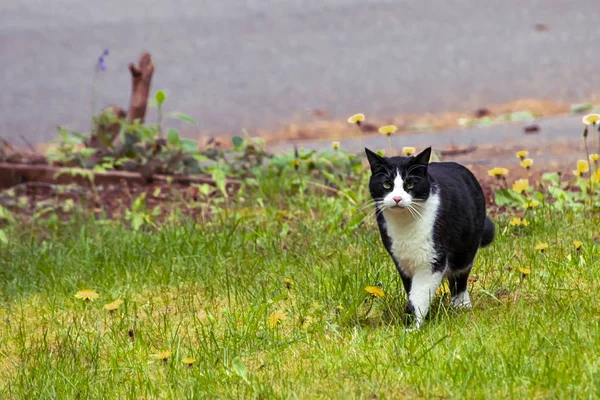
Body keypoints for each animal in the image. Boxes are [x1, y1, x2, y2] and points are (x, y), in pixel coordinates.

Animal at [364, 147, 494, 328]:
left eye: (410, 184)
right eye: (386, 184)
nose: (397, 198)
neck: (405, 224)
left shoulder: (432, 259)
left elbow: (420, 294)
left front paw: (411, 327)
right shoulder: (401, 260)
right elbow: (411, 291)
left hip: (466, 248)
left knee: (460, 277)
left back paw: (461, 306)